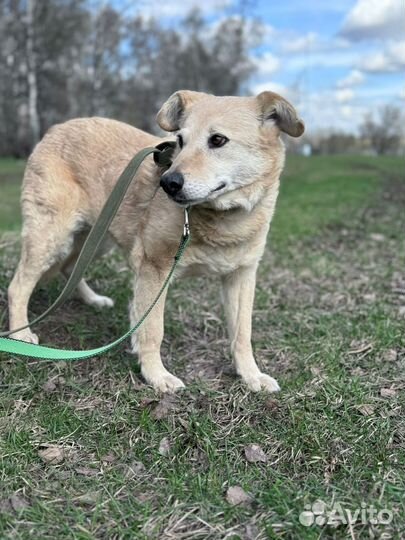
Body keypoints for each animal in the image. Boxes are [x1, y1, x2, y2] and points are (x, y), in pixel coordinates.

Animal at [7, 88, 304, 392]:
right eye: (180, 141)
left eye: (218, 140)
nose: (168, 183)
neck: (224, 221)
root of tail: (55, 128)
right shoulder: (154, 269)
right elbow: (152, 330)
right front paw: (155, 375)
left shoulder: (241, 276)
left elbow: (242, 334)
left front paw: (251, 376)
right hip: (52, 236)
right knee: (17, 286)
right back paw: (22, 334)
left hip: (97, 239)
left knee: (69, 268)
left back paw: (93, 300)